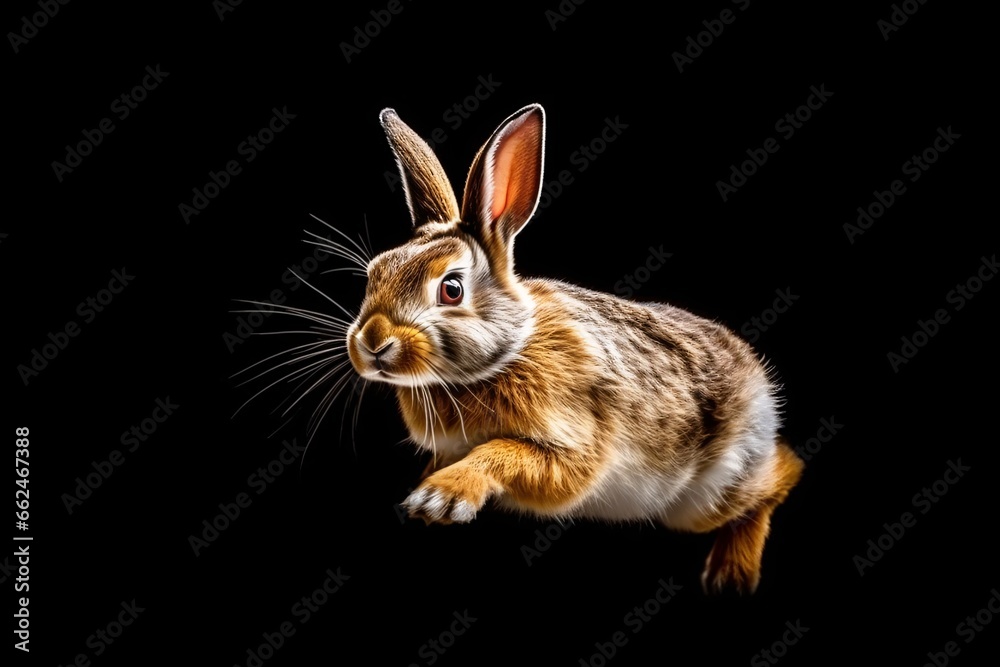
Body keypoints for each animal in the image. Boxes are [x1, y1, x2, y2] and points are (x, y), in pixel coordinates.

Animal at [346, 103, 804, 594]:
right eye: (375, 273)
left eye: (451, 289)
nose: (372, 343)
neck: (505, 354)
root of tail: (760, 384)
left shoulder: (574, 441)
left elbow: (507, 453)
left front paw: (440, 497)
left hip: (710, 494)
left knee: (780, 475)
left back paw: (732, 574)